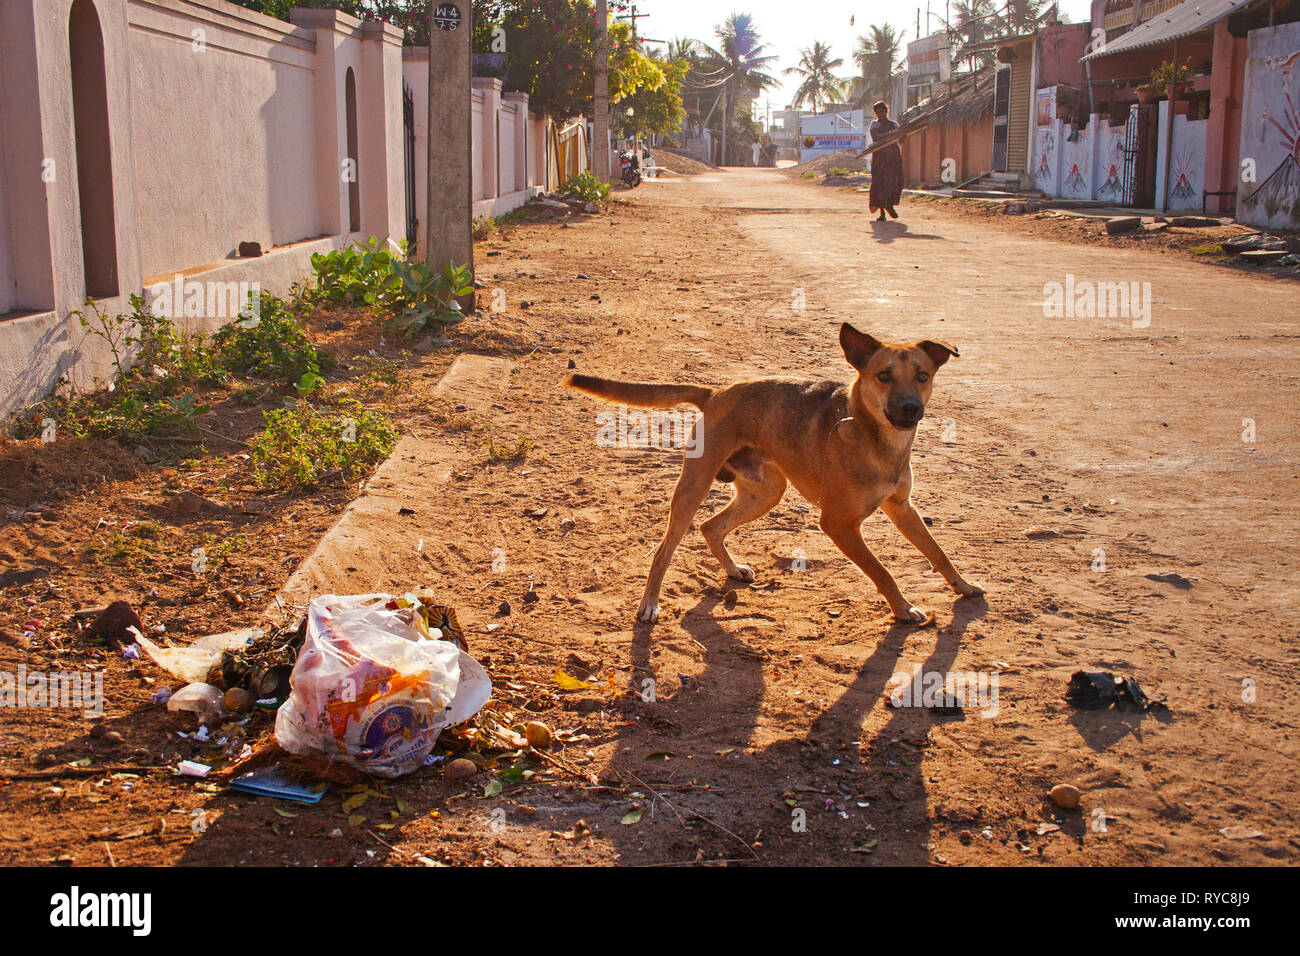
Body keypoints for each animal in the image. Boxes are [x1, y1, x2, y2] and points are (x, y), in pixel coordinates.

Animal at [564, 325, 977, 624]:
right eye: (884, 376)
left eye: (922, 375)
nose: (910, 408)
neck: (876, 438)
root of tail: (715, 392)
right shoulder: (838, 524)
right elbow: (882, 572)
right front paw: (904, 609)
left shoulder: (902, 508)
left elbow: (937, 552)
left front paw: (964, 585)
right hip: (693, 488)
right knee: (664, 550)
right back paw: (650, 603)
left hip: (765, 493)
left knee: (711, 527)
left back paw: (732, 569)